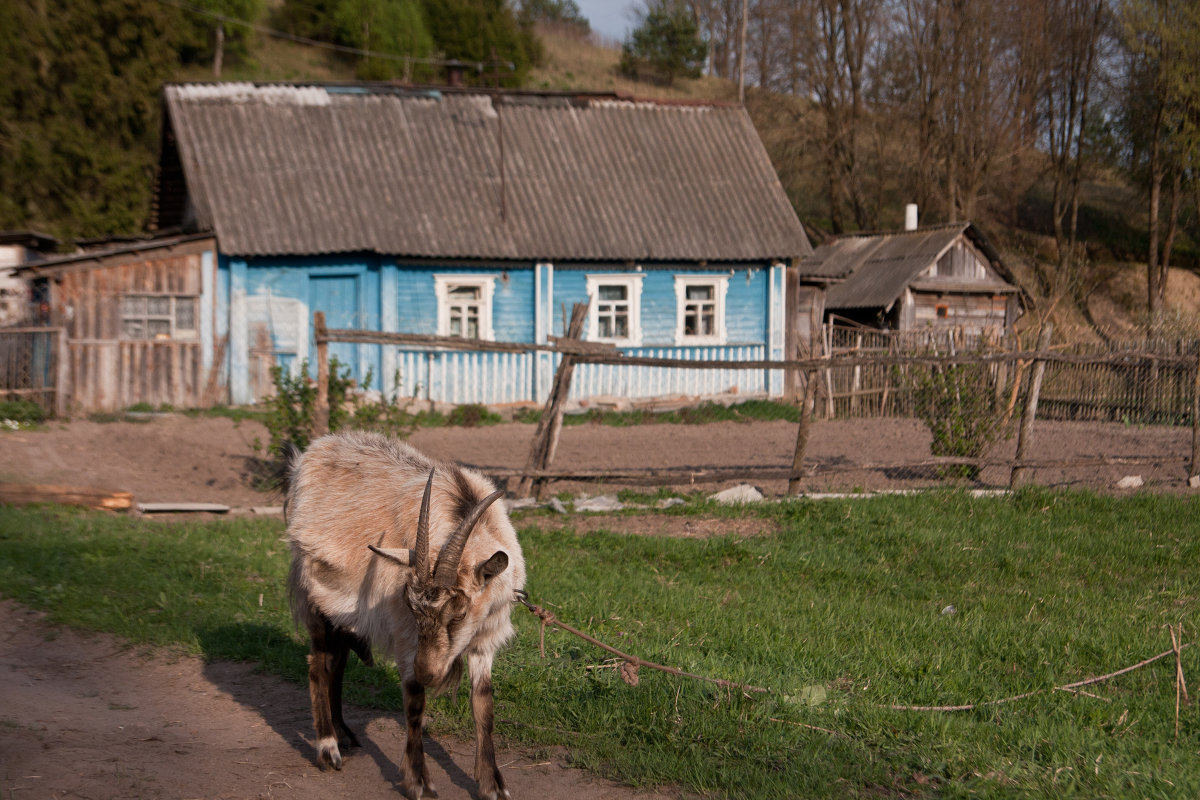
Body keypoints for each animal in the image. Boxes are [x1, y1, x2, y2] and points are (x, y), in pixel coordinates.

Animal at [285, 431, 525, 800]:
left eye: (459, 612)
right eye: (412, 608)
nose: (429, 674)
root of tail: (311, 453)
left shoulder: (484, 639)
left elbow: (483, 704)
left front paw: (492, 785)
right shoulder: (405, 633)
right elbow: (414, 701)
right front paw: (419, 782)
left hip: (340, 612)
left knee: (336, 663)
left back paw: (344, 735)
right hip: (315, 596)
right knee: (318, 664)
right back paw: (328, 748)